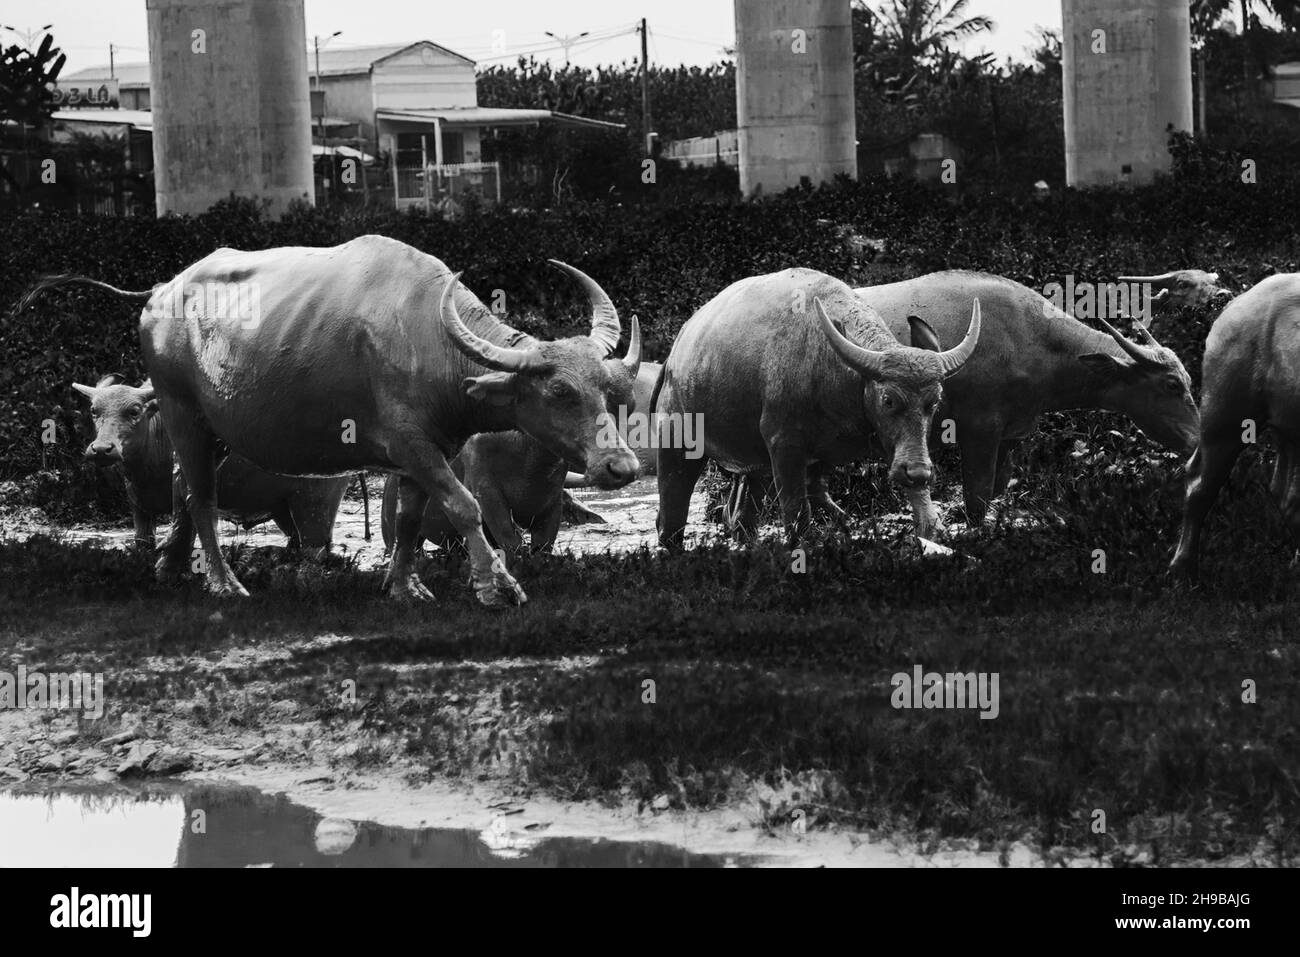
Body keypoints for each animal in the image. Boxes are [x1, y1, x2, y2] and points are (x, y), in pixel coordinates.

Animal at [73, 374, 354, 552]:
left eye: (133, 411)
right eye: (94, 411)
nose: (101, 449)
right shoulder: (140, 511)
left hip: (315, 505)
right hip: (283, 508)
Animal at [654, 268, 980, 549]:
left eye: (933, 402)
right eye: (888, 399)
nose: (920, 472)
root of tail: (673, 357)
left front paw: (930, 527)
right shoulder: (785, 447)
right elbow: (797, 513)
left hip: (752, 468)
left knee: (739, 519)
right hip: (676, 445)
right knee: (670, 518)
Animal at [1170, 274, 1300, 580]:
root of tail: (1236, 303)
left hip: (1286, 427)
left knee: (1285, 492)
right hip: (1225, 413)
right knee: (1200, 483)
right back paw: (1182, 569)